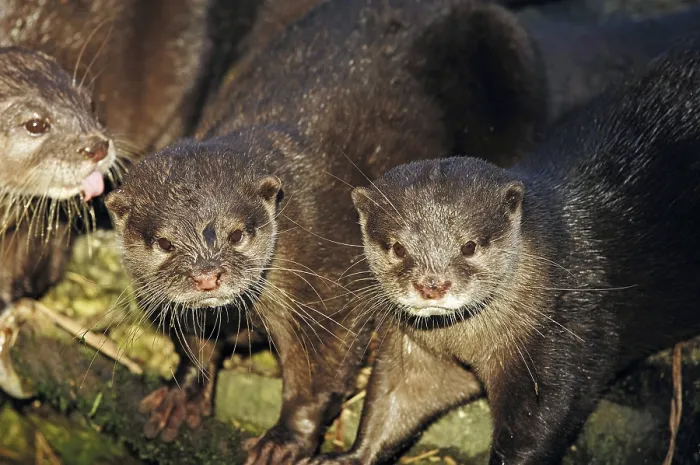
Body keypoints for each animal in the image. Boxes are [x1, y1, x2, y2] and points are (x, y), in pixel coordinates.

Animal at [301, 35, 700, 465]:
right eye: (397, 248)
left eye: (469, 246)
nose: (431, 285)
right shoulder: (416, 350)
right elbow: (392, 403)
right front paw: (347, 455)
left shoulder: (563, 339)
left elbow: (538, 425)